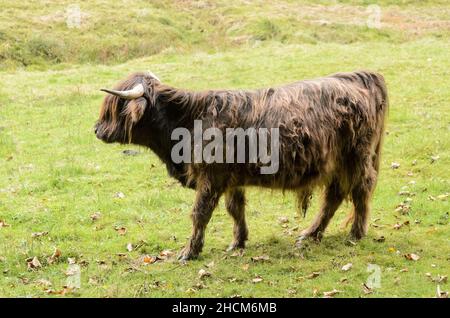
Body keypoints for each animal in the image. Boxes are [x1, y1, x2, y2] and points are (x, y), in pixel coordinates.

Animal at [96, 70, 390, 260]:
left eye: (116, 106)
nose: (96, 129)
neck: (189, 121)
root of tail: (358, 76)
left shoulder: (210, 177)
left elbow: (200, 213)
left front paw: (189, 251)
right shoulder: (230, 179)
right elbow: (235, 209)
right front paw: (238, 242)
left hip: (357, 158)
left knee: (360, 190)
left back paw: (355, 233)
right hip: (337, 163)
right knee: (334, 196)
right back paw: (310, 234)